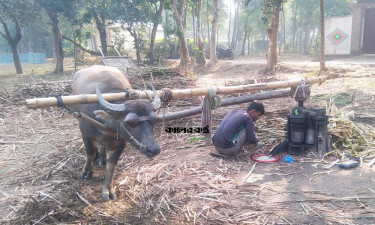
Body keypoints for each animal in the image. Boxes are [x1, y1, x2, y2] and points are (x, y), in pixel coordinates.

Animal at [72, 65, 162, 200]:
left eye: (153, 120)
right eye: (130, 122)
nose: (154, 149)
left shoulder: (122, 142)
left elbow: (111, 165)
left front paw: (107, 189)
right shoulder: (85, 134)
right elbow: (90, 153)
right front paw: (87, 172)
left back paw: (102, 158)